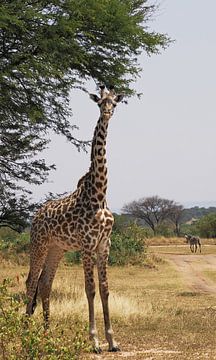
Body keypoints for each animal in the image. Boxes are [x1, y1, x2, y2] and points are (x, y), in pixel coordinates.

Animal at [25, 85, 124, 352]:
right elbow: (90, 290)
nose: (108, 113)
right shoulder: (87, 246)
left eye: (114, 102)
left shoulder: (104, 244)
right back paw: (24, 329)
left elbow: (105, 290)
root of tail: (36, 216)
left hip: (56, 249)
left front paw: (112, 340)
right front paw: (95, 341)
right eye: (100, 102)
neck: (100, 193)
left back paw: (46, 333)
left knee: (45, 284)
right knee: (31, 281)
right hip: (39, 244)